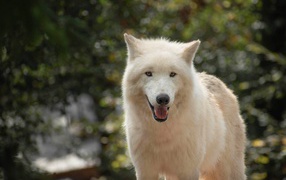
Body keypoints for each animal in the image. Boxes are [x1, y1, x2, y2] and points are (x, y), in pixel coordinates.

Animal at [122, 34, 247, 180]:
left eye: (172, 74)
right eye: (148, 73)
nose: (163, 98)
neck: (162, 133)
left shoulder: (188, 170)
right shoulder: (145, 171)